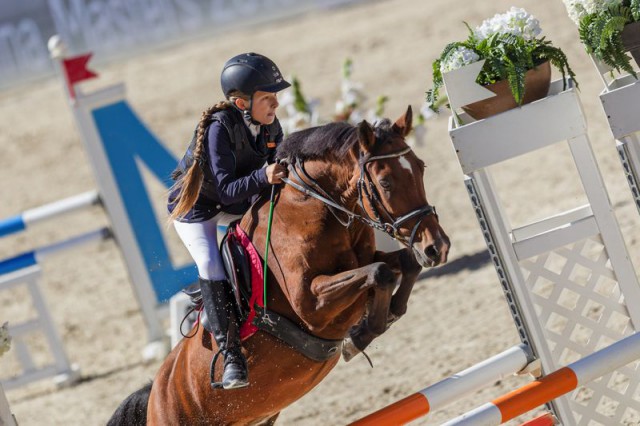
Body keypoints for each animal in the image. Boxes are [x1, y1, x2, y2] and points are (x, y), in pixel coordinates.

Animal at [108, 106, 450, 425]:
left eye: (421, 167)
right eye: (385, 182)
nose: (437, 247)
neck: (316, 208)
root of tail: (155, 392)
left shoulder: (366, 262)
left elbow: (403, 264)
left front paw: (383, 317)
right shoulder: (310, 303)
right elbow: (380, 273)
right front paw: (360, 336)